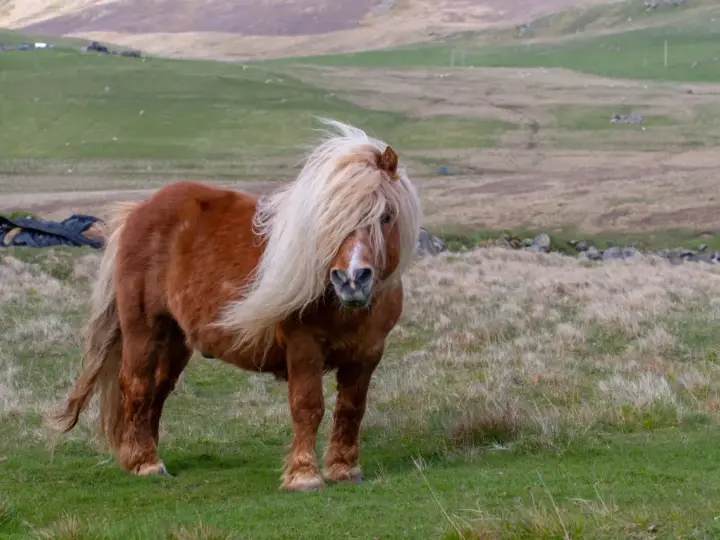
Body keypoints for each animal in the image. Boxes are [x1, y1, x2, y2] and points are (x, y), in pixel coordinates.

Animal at [50, 119, 423, 492]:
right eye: (330, 221)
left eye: (386, 216)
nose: (351, 279)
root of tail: (139, 211)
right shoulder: (304, 348)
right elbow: (308, 406)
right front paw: (304, 475)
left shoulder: (367, 355)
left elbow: (351, 409)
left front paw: (345, 470)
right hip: (144, 329)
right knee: (137, 385)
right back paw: (146, 462)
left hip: (175, 340)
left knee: (157, 391)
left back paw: (142, 455)